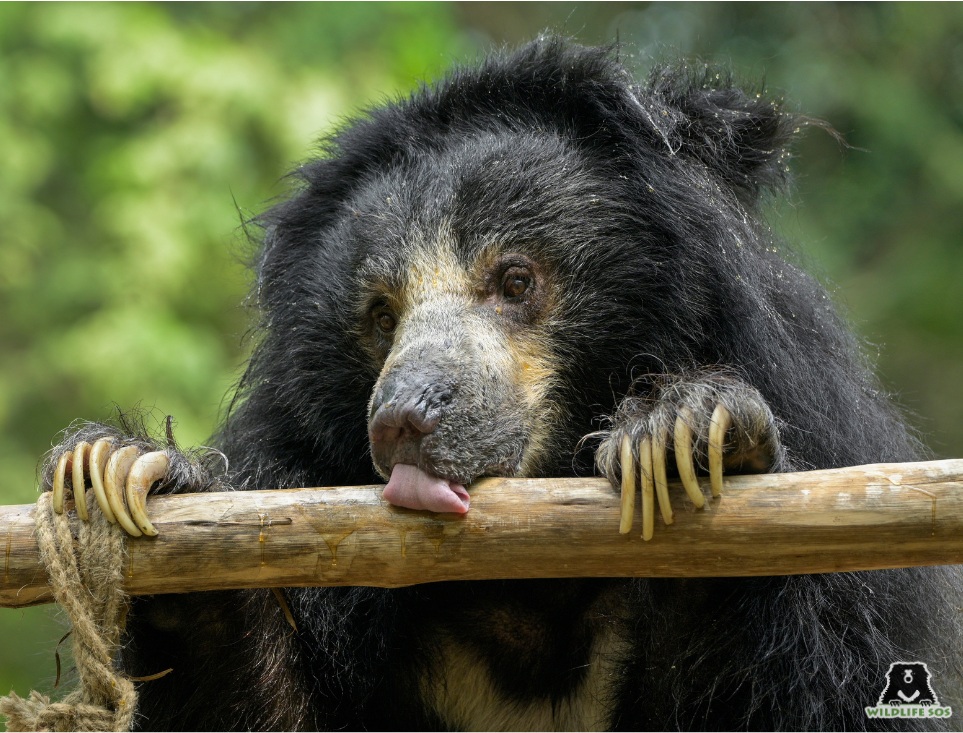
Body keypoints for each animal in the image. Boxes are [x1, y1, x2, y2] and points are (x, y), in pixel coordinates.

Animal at [47, 38, 963, 728]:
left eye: (515, 278)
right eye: (379, 314)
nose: (402, 421)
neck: (525, 582)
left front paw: (682, 438)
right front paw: (126, 472)